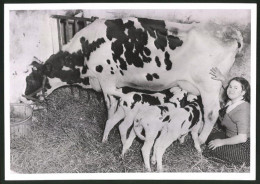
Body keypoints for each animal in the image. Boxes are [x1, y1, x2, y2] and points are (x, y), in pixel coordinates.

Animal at [22, 17, 244, 144]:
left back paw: (201, 140)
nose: (24, 96)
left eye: (32, 78)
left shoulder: (107, 80)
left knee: (212, 113)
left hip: (209, 85)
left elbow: (112, 104)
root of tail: (229, 31)